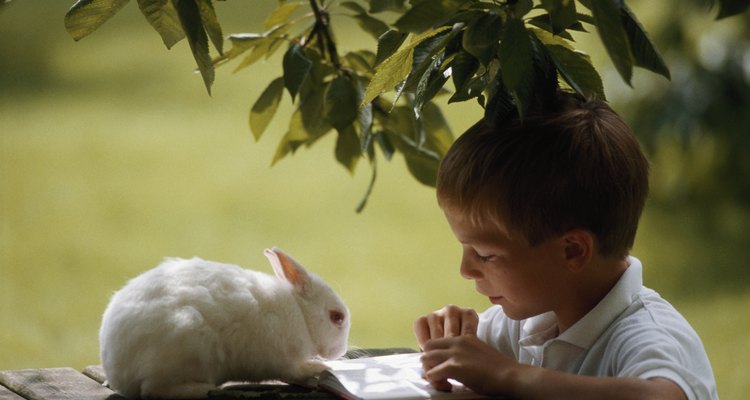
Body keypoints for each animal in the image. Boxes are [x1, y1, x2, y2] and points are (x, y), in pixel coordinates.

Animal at [98, 247, 352, 400]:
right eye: (336, 317)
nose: (341, 351)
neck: (299, 313)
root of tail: (116, 368)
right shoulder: (282, 360)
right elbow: (296, 370)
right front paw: (319, 367)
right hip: (186, 346)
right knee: (152, 390)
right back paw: (206, 388)